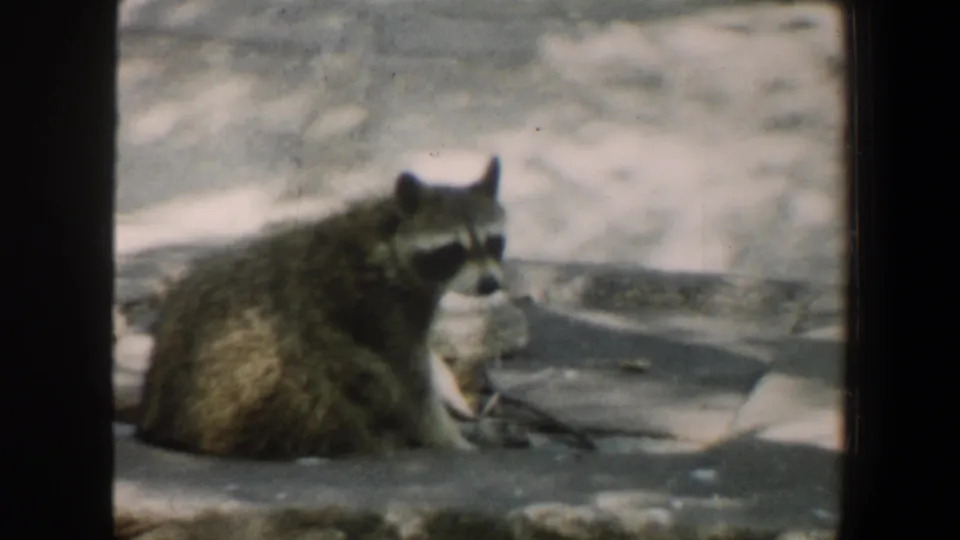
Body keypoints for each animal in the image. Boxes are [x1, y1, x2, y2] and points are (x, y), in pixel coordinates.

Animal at [135, 157, 508, 460]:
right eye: (453, 250)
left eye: (493, 242)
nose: (490, 284)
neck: (388, 236)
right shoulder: (380, 308)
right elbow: (411, 383)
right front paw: (447, 436)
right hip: (255, 388)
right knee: (331, 362)